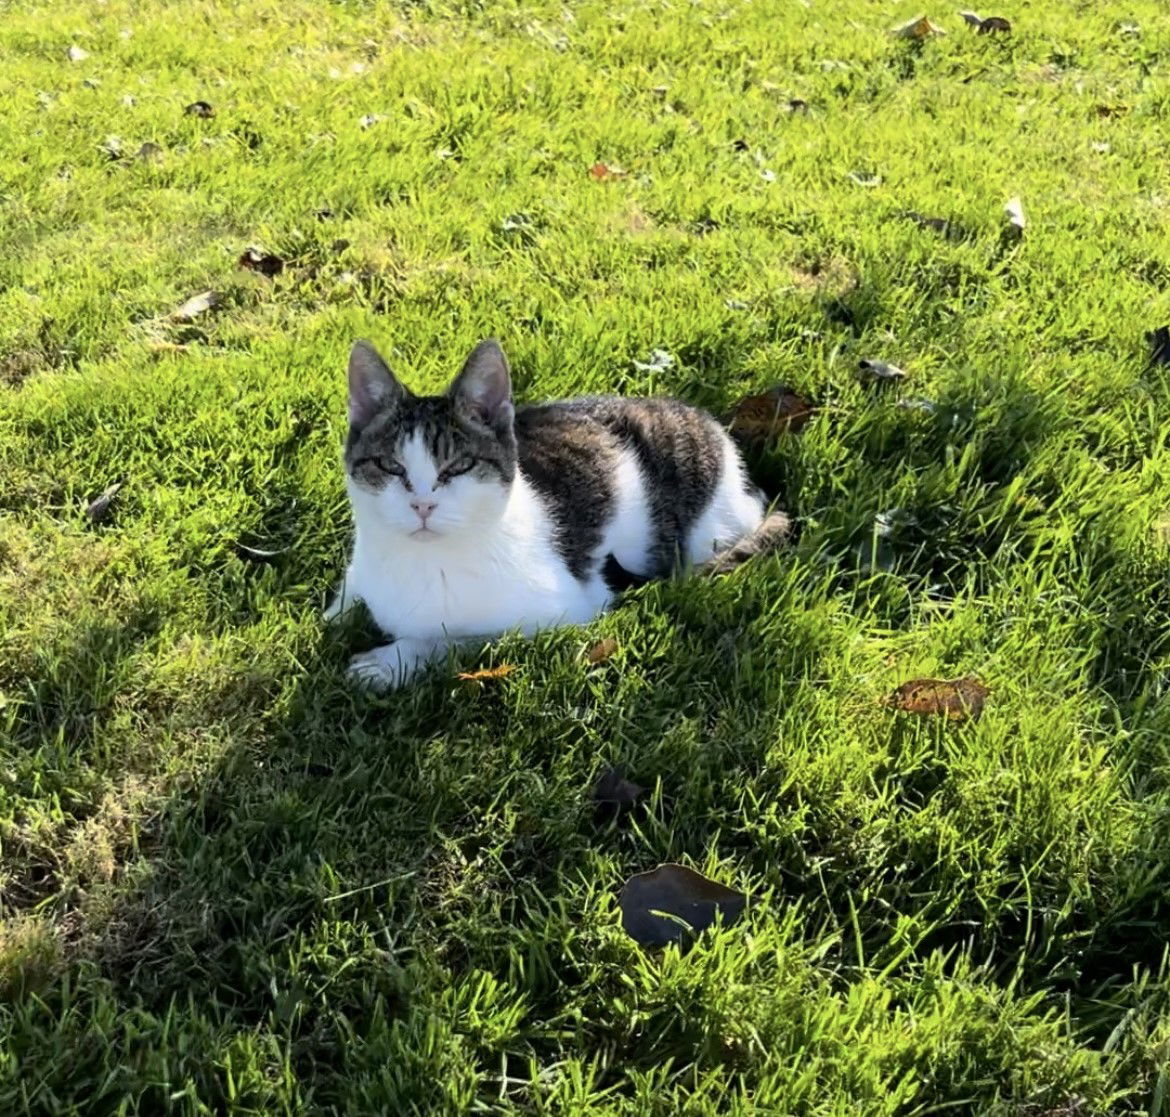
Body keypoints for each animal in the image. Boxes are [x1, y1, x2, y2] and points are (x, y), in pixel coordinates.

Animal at [325, 339, 790, 692]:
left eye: (458, 467)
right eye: (391, 467)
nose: (422, 506)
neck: (419, 561)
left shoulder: (560, 616)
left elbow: (455, 641)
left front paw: (391, 662)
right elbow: (337, 610)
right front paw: (335, 622)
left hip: (707, 531)